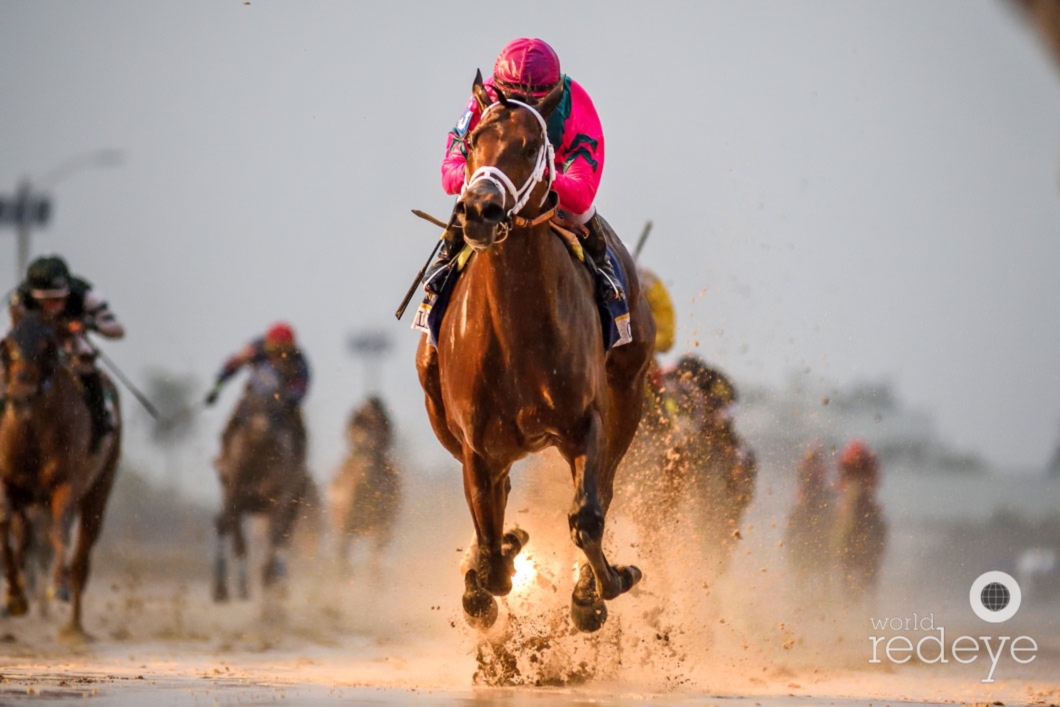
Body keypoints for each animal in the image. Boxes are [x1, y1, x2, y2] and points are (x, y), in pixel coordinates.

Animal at [0, 310, 121, 640]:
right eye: (8, 345)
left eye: (47, 346)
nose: (20, 395)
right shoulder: (9, 482)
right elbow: (7, 526)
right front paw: (14, 598)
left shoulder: (67, 482)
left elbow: (59, 530)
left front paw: (58, 587)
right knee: (26, 538)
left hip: (100, 486)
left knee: (82, 553)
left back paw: (74, 627)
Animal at [212, 367, 309, 602]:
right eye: (251, 404)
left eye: (274, 406)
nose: (260, 429)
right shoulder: (234, 494)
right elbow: (239, 541)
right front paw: (242, 586)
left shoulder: (281, 498)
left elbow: (275, 536)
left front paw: (268, 577)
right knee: (222, 524)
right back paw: (221, 588)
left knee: (283, 536)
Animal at [328, 396, 402, 579]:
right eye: (358, 431)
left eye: (380, 429)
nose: (368, 449)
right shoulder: (344, 526)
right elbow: (343, 558)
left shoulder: (382, 528)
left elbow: (374, 561)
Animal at [416, 72, 655, 632]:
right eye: (471, 142)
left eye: (530, 146)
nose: (479, 210)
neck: (516, 333)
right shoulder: (477, 448)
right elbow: (489, 555)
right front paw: (488, 572)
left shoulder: (586, 423)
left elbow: (587, 517)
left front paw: (595, 594)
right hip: (443, 416)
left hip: (628, 394)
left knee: (603, 491)